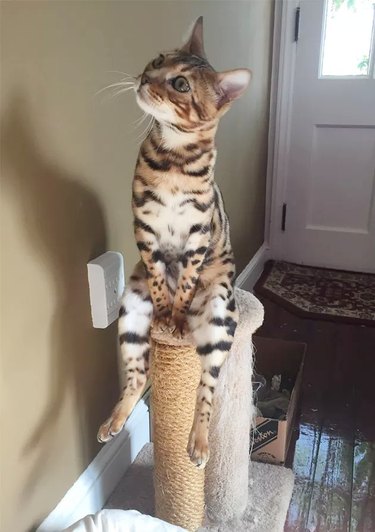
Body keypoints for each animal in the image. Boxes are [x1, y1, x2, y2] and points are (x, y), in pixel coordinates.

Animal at [97, 16, 251, 468]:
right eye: (157, 60)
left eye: (180, 83)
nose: (145, 77)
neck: (173, 161)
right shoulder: (145, 230)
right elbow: (160, 277)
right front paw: (166, 312)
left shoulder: (197, 236)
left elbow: (183, 283)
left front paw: (176, 316)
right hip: (131, 308)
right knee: (138, 375)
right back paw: (114, 421)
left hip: (219, 314)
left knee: (207, 388)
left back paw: (197, 443)